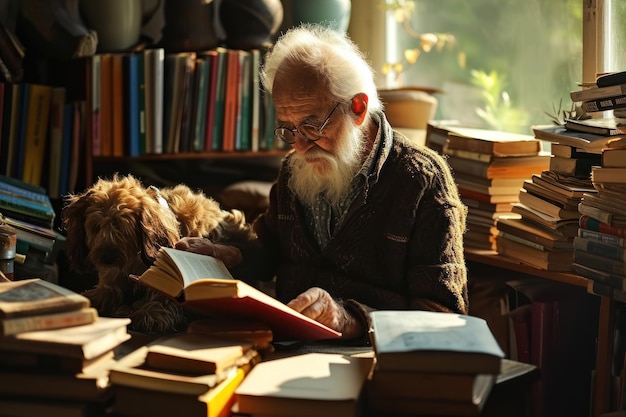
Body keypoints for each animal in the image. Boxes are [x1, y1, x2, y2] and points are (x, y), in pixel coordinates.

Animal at [60, 174, 251, 334]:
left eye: (123, 229)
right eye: (96, 227)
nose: (107, 258)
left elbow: (163, 297)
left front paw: (151, 314)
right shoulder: (111, 282)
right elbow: (103, 292)